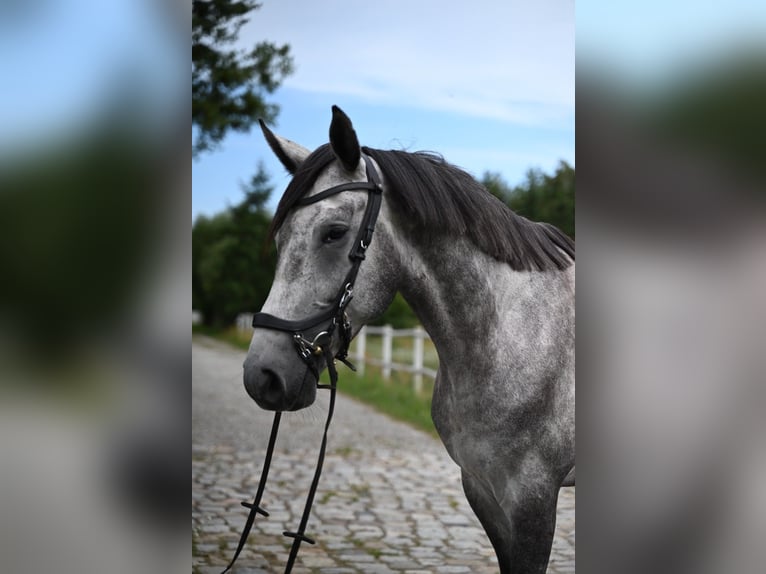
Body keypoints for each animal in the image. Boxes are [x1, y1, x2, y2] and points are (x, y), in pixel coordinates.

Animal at [244, 106, 575, 573]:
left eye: (334, 232)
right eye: (280, 237)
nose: (262, 374)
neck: (512, 337)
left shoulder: (534, 499)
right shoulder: (482, 488)